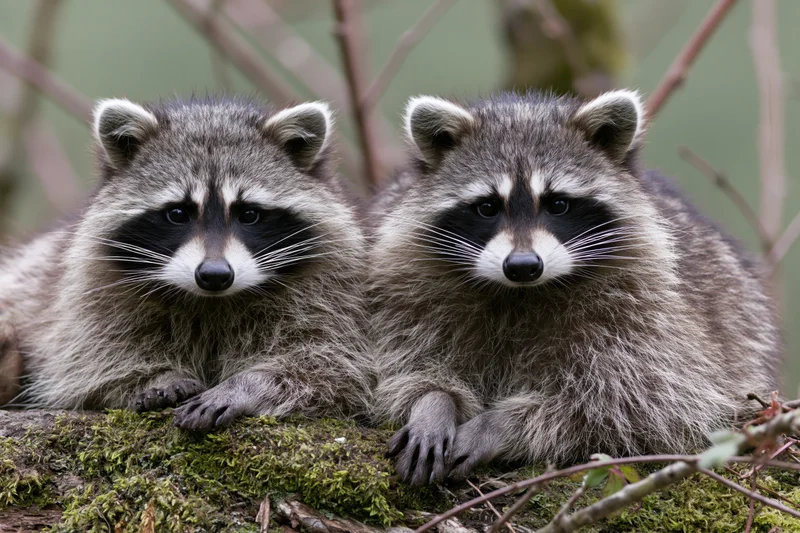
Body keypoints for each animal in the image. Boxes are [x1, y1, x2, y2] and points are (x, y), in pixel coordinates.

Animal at [0, 96, 372, 429]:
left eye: (249, 214)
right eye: (178, 213)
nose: (214, 275)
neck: (212, 302)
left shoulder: (327, 298)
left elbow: (327, 369)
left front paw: (246, 386)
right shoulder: (86, 299)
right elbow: (88, 362)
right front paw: (154, 377)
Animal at [370, 90, 782, 485]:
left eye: (558, 204)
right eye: (487, 207)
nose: (523, 266)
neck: (520, 293)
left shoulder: (641, 315)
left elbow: (632, 406)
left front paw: (499, 425)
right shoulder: (410, 293)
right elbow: (402, 367)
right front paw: (434, 402)